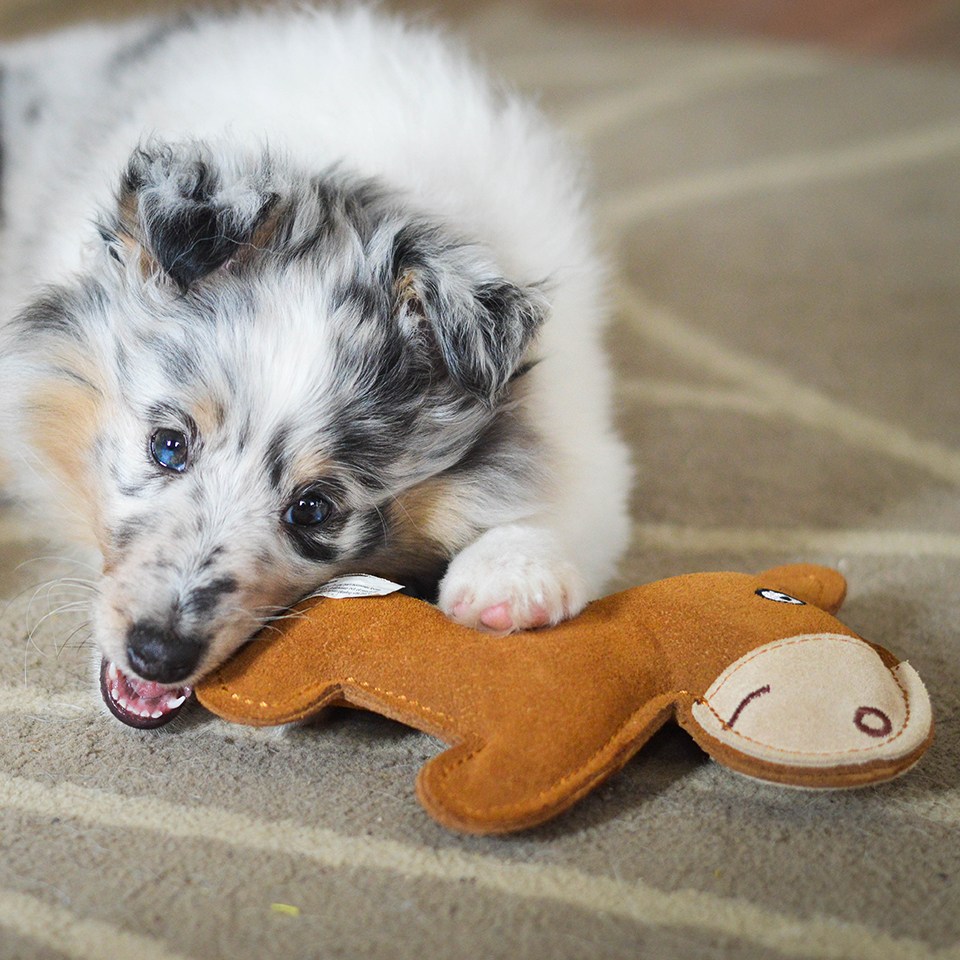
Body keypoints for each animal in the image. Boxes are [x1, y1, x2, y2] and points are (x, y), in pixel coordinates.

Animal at [0, 3, 632, 724]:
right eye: (167, 446)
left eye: (313, 510)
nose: (157, 655)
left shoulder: (576, 418)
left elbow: (563, 494)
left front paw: (508, 582)